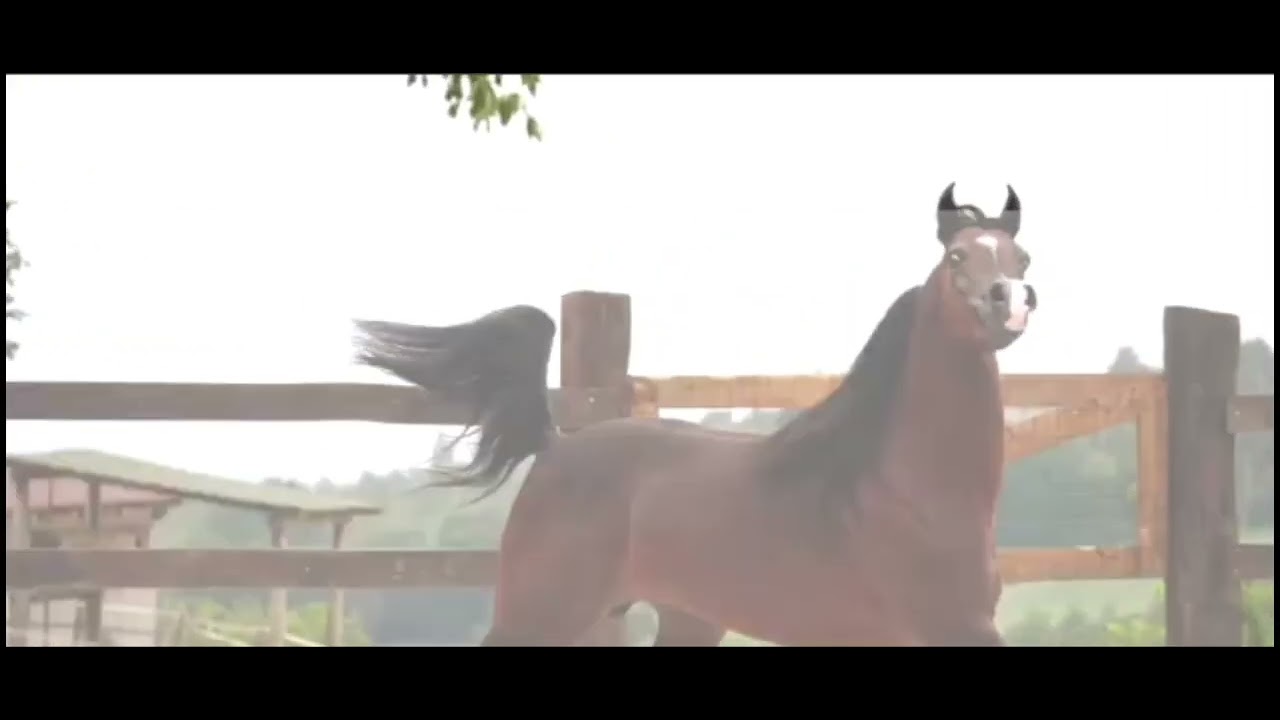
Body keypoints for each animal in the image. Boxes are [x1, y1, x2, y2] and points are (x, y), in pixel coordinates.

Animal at [353, 182, 1038, 646]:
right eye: (957, 260)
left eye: (1021, 259)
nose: (1009, 306)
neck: (902, 488)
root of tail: (557, 445)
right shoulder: (955, 627)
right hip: (540, 609)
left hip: (674, 619)